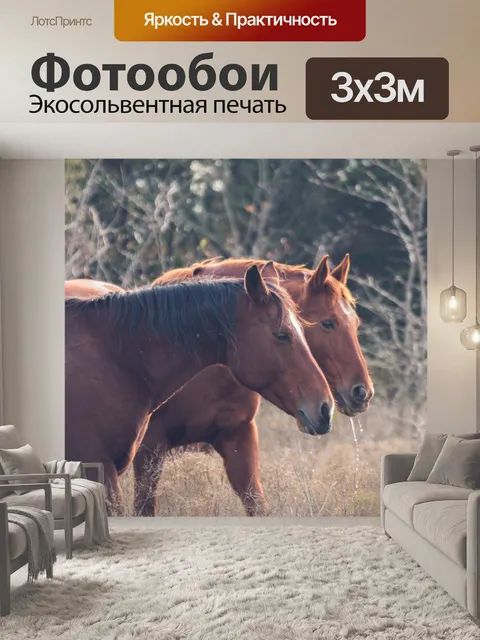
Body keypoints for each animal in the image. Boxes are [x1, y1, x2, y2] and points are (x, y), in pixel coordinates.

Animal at [134, 255, 373, 516]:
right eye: (328, 323)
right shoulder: (149, 451)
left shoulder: (239, 441)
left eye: (356, 323)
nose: (363, 392)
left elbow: (257, 506)